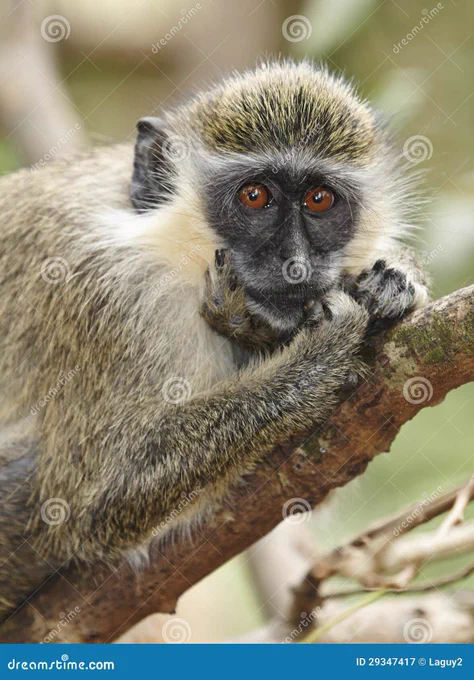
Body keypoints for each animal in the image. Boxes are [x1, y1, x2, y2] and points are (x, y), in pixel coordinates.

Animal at [0, 61, 429, 622]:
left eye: (319, 199)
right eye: (254, 196)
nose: (295, 264)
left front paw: (395, 280)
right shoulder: (101, 291)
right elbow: (84, 504)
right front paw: (318, 360)